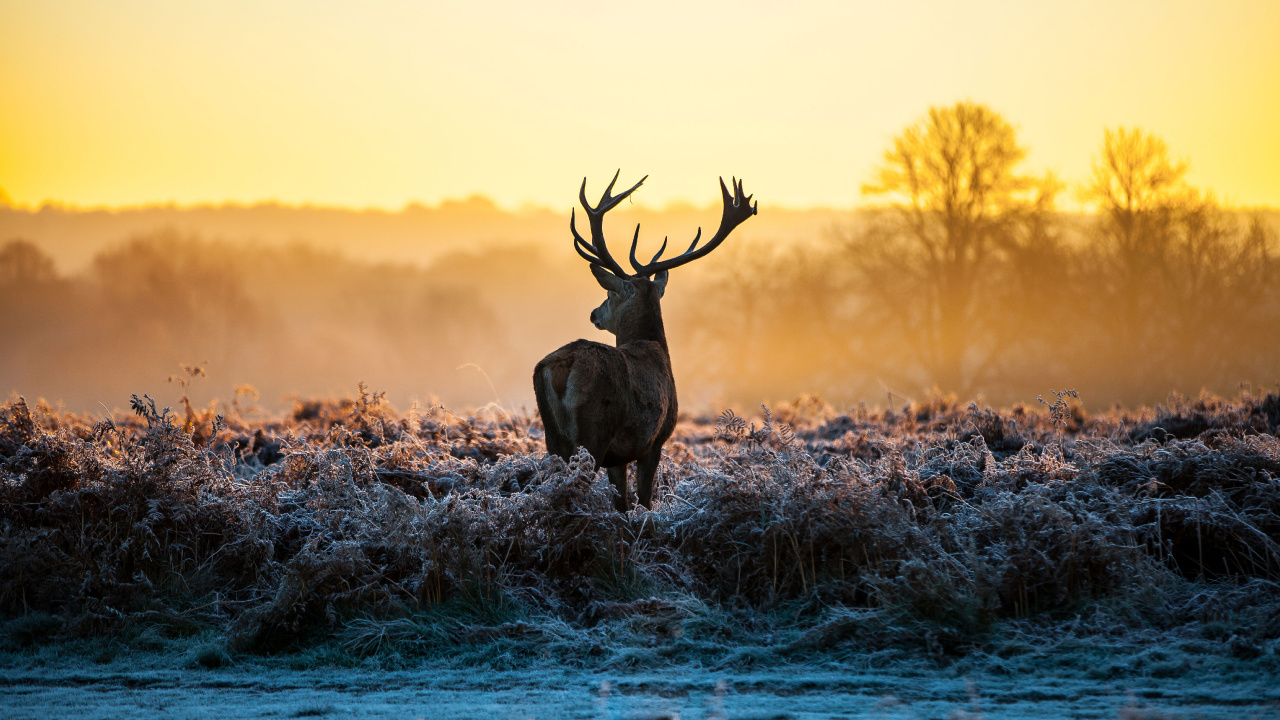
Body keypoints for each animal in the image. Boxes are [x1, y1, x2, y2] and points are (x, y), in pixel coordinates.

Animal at [533, 171, 757, 512]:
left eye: (609, 293)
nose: (594, 314)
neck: (654, 347)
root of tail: (562, 367)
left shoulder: (619, 456)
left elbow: (622, 503)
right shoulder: (654, 440)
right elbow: (644, 501)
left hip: (553, 436)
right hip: (594, 430)